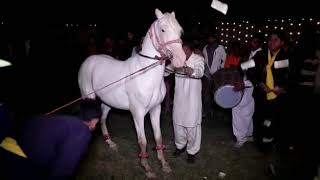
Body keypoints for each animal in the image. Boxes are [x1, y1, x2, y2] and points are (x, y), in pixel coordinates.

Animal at [78, 8, 185, 177]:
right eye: (163, 29)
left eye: (180, 31)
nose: (181, 60)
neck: (146, 74)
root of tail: (88, 60)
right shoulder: (138, 113)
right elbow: (143, 141)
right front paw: (147, 168)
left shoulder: (156, 110)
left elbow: (158, 137)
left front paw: (164, 164)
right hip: (88, 98)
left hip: (107, 102)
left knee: (102, 119)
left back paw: (110, 142)